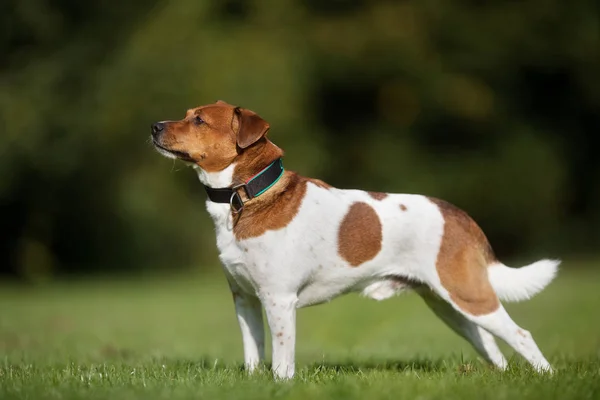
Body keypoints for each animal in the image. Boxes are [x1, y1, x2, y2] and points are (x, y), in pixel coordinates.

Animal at [152, 99, 560, 378]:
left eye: (199, 120)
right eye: (187, 114)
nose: (154, 125)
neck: (247, 197)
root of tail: (459, 215)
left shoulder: (278, 300)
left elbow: (282, 359)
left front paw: (281, 384)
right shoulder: (245, 299)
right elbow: (254, 351)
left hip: (467, 293)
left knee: (521, 334)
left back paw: (546, 376)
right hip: (448, 304)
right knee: (489, 342)